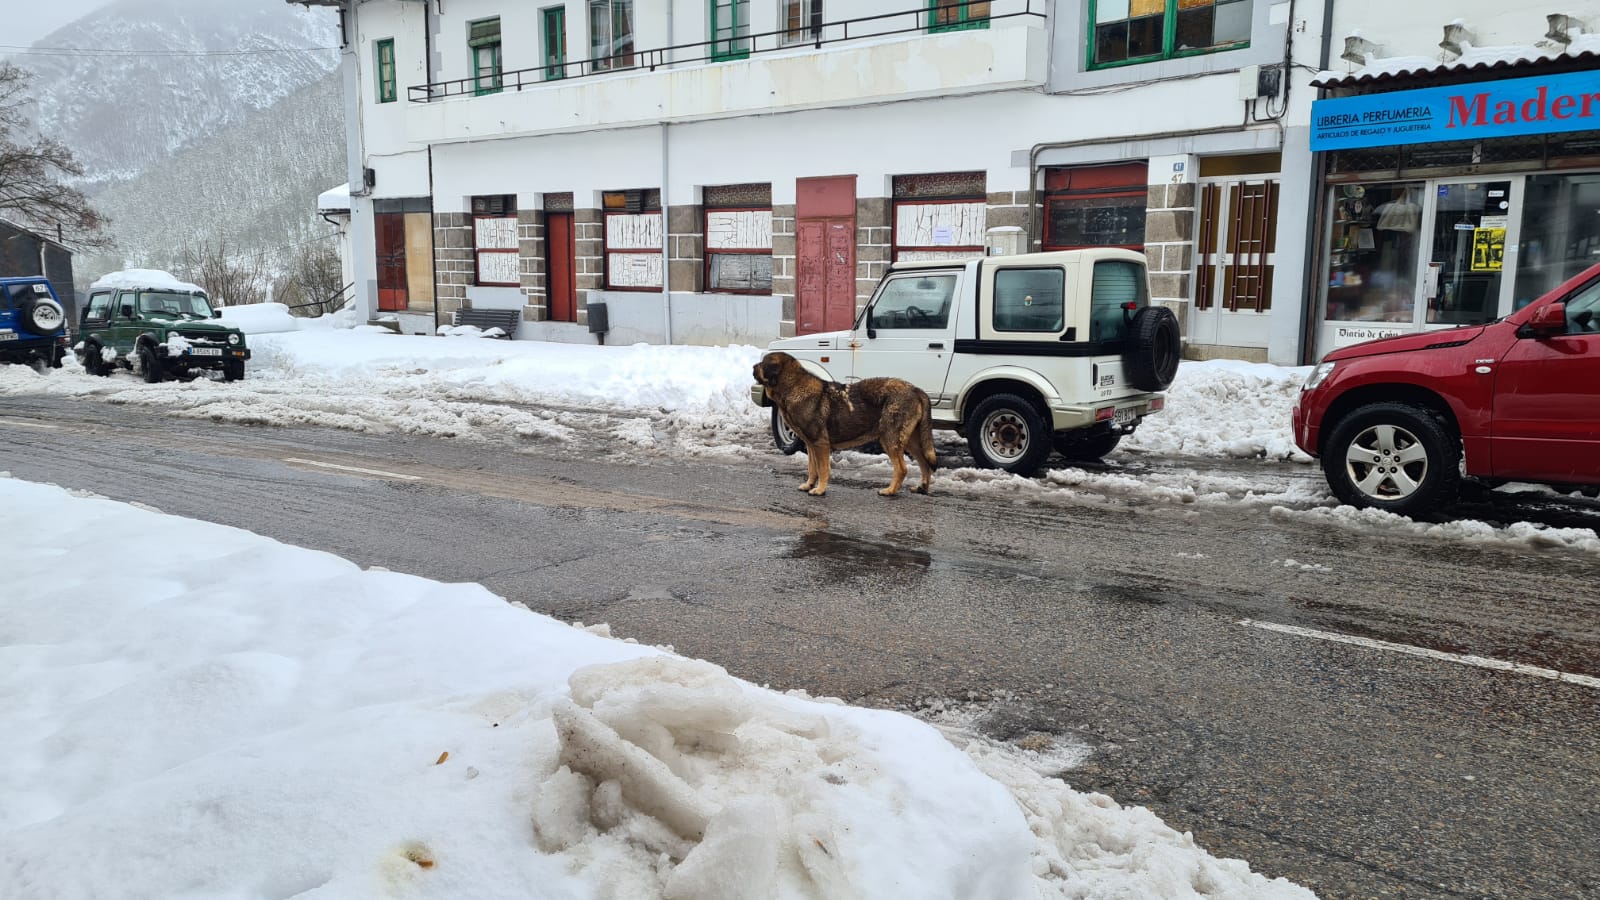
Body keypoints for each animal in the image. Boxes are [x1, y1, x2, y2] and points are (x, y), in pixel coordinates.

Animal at [752, 350, 934, 493]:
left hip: (891, 439)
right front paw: (809, 485)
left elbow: (823, 469)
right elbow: (812, 468)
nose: (753, 366)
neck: (793, 387)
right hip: (911, 441)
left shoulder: (821, 444)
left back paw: (890, 491)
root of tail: (916, 390)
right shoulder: (811, 445)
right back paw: (922, 487)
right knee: (925, 463)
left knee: (902, 469)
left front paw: (819, 489)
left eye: (763, 363)